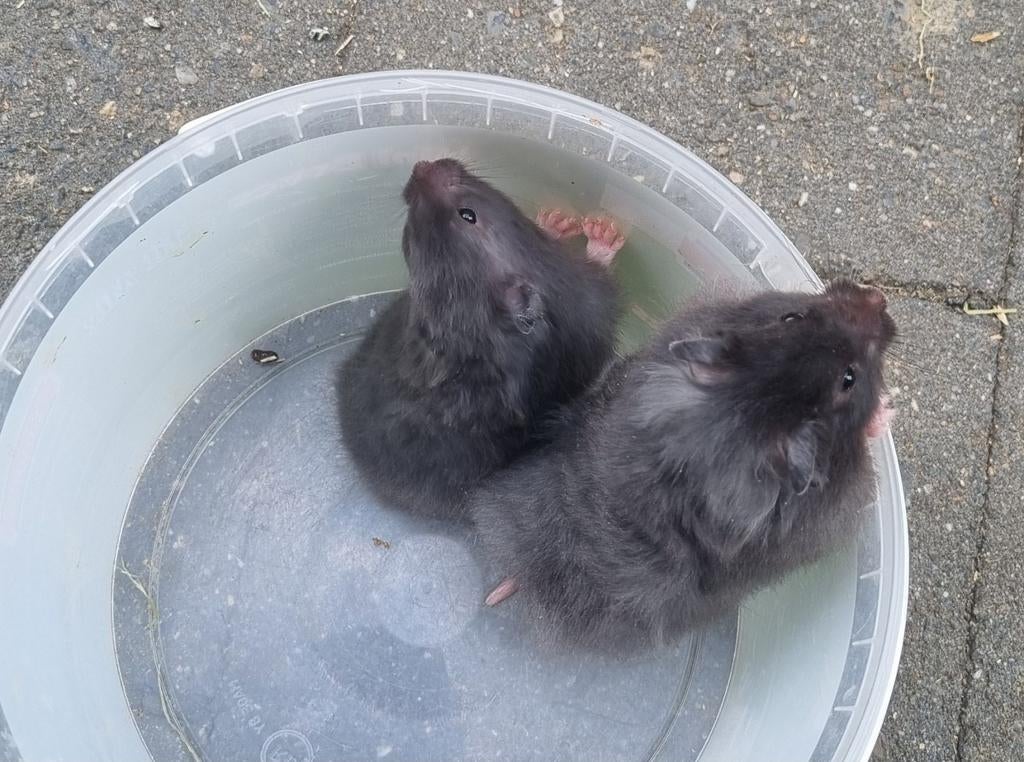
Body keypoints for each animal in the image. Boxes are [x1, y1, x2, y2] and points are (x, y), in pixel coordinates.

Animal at [339, 159, 624, 520]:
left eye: (408, 241)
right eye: (468, 215)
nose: (421, 166)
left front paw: (561, 220)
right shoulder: (593, 294)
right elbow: (602, 265)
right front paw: (601, 231)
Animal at [473, 280, 897, 650]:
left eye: (793, 316)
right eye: (849, 378)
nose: (878, 298)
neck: (741, 415)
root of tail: (527, 572)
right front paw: (886, 410)